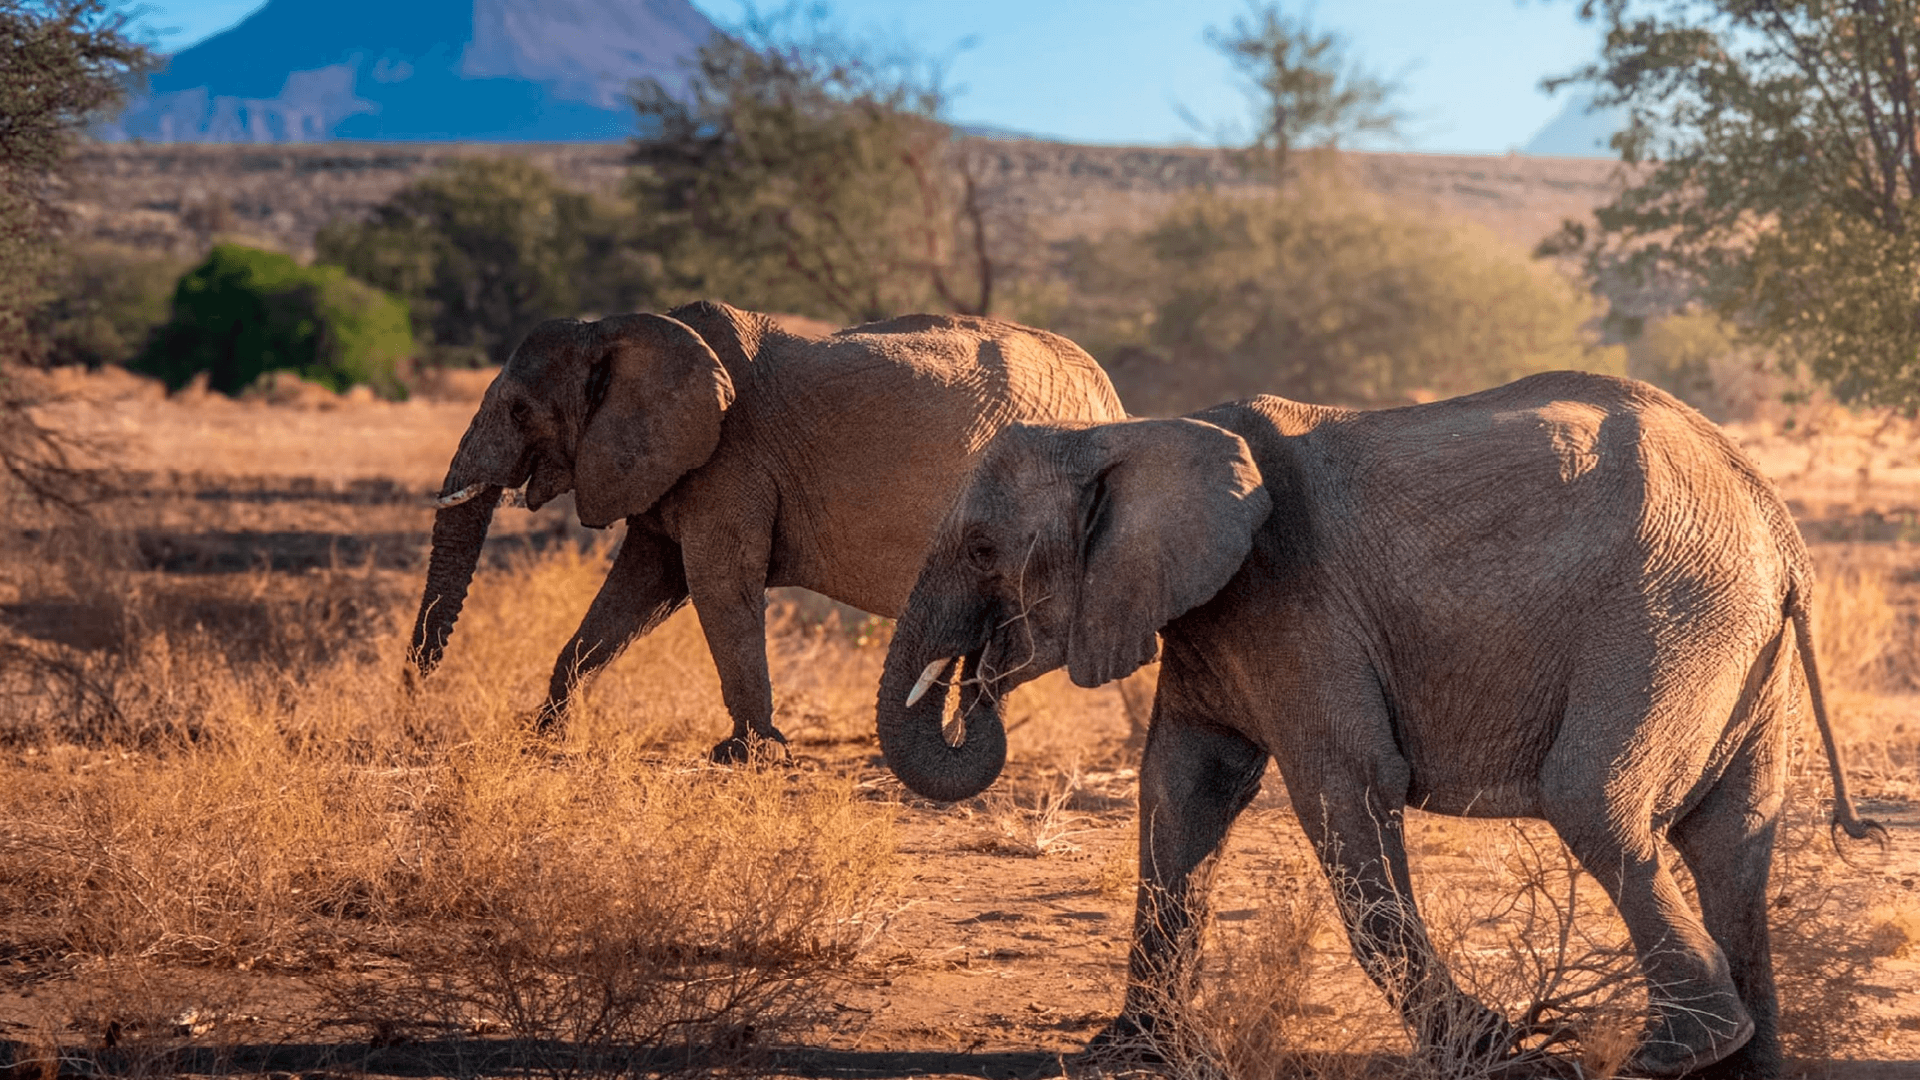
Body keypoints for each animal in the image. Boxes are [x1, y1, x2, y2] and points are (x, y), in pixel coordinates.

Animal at [409, 300, 1125, 761]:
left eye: (519, 411)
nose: (417, 696)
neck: (618, 328)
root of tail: (1111, 394)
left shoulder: (731, 458)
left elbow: (716, 582)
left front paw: (749, 756)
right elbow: (642, 585)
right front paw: (545, 735)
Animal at [872, 371, 1881, 1079]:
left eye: (982, 549)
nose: (975, 683)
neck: (1129, 434)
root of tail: (1776, 525)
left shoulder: (1288, 599)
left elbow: (1345, 785)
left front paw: (1490, 1049)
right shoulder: (1214, 617)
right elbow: (1183, 789)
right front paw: (1127, 1055)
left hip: (1668, 613)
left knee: (1594, 802)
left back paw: (1677, 1052)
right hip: (1732, 638)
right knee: (1730, 840)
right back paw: (1738, 1062)